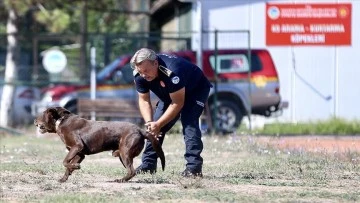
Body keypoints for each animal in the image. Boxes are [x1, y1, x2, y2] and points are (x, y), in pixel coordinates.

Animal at [34, 107, 164, 183]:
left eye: (41, 114)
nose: (34, 120)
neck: (60, 121)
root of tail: (140, 130)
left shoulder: (77, 146)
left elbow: (65, 161)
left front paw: (76, 166)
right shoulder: (80, 153)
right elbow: (67, 166)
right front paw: (65, 177)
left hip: (125, 152)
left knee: (132, 171)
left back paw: (120, 180)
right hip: (121, 155)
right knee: (131, 170)